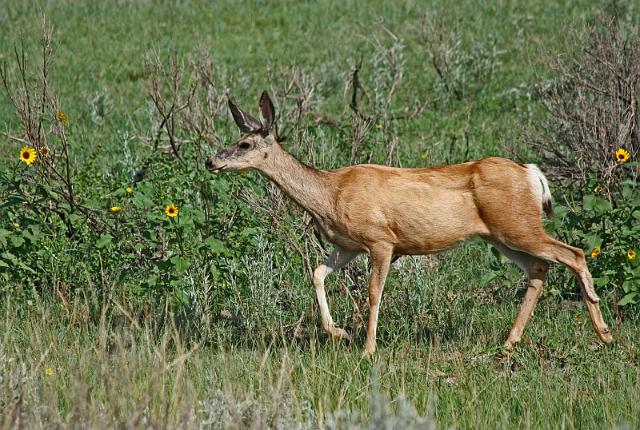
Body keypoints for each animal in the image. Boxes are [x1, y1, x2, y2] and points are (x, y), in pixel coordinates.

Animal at [206, 91, 616, 356]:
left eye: (244, 144)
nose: (211, 161)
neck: (330, 194)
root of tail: (532, 173)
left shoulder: (381, 239)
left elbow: (373, 293)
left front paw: (368, 348)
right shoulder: (346, 244)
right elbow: (317, 274)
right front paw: (338, 333)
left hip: (518, 224)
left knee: (573, 253)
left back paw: (605, 333)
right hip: (502, 235)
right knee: (538, 269)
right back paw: (509, 341)